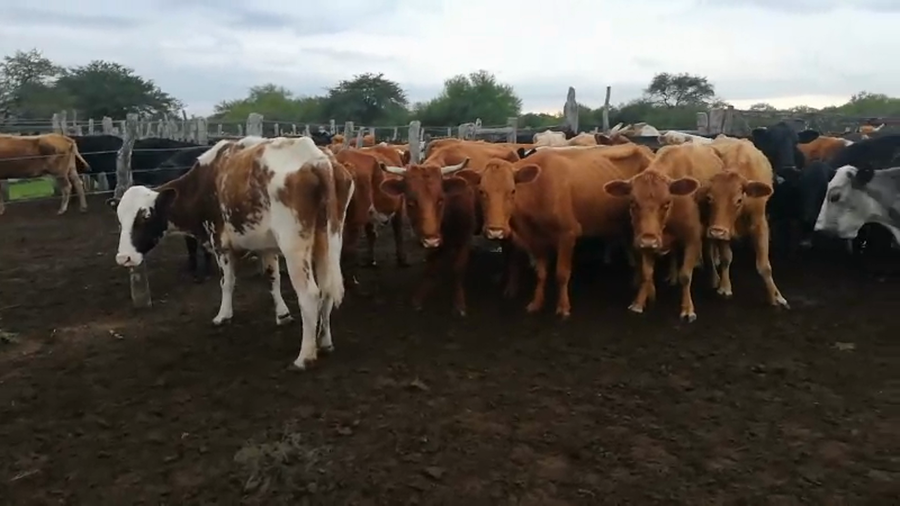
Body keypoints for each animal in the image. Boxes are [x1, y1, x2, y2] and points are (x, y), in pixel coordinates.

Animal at [108, 136, 354, 370]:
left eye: (145, 216)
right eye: (120, 221)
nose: (124, 257)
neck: (205, 181)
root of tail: (317, 160)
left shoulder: (220, 244)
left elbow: (226, 282)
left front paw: (223, 315)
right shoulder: (267, 247)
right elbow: (272, 278)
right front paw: (282, 314)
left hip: (294, 247)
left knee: (310, 295)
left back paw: (305, 356)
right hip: (329, 240)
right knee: (327, 289)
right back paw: (324, 341)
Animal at [458, 144, 653, 317]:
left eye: (512, 191)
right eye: (481, 191)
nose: (496, 231)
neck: (538, 190)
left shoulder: (568, 234)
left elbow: (562, 273)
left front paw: (563, 307)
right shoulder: (535, 239)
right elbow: (541, 272)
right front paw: (536, 303)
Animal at [603, 143, 725, 322]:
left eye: (667, 203)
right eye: (632, 202)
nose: (649, 240)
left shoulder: (693, 238)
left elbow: (685, 276)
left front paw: (687, 308)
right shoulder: (645, 239)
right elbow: (647, 274)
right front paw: (639, 302)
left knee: (709, 251)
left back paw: (714, 278)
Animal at [704, 138, 789, 308]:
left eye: (738, 200)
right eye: (709, 197)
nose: (716, 231)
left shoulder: (760, 223)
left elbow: (764, 266)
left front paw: (775, 296)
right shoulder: (724, 228)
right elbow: (726, 258)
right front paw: (725, 286)